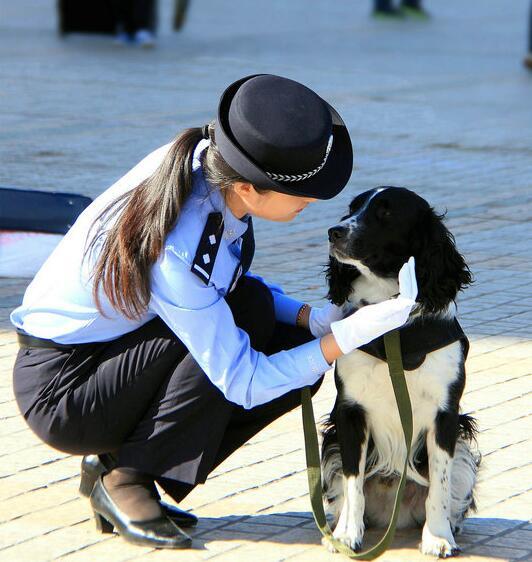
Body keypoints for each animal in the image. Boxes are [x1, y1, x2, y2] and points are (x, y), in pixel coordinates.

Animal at [322, 187, 480, 556]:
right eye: (352, 208)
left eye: (386, 213)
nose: (334, 231)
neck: (395, 331)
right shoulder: (349, 413)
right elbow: (353, 482)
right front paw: (348, 535)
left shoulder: (445, 414)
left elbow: (439, 484)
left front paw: (437, 537)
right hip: (331, 440)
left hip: (463, 444)